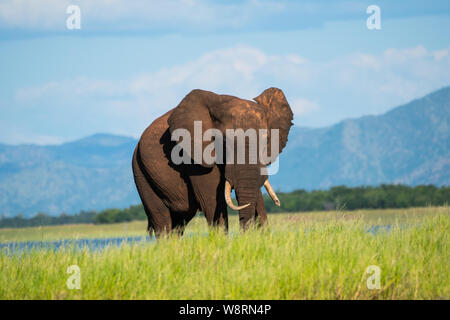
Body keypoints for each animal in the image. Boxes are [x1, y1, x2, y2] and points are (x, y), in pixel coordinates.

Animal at [132, 87, 294, 238]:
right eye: (226, 141)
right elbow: (211, 200)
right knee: (162, 219)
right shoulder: (194, 158)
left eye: (267, 140)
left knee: (179, 222)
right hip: (140, 173)